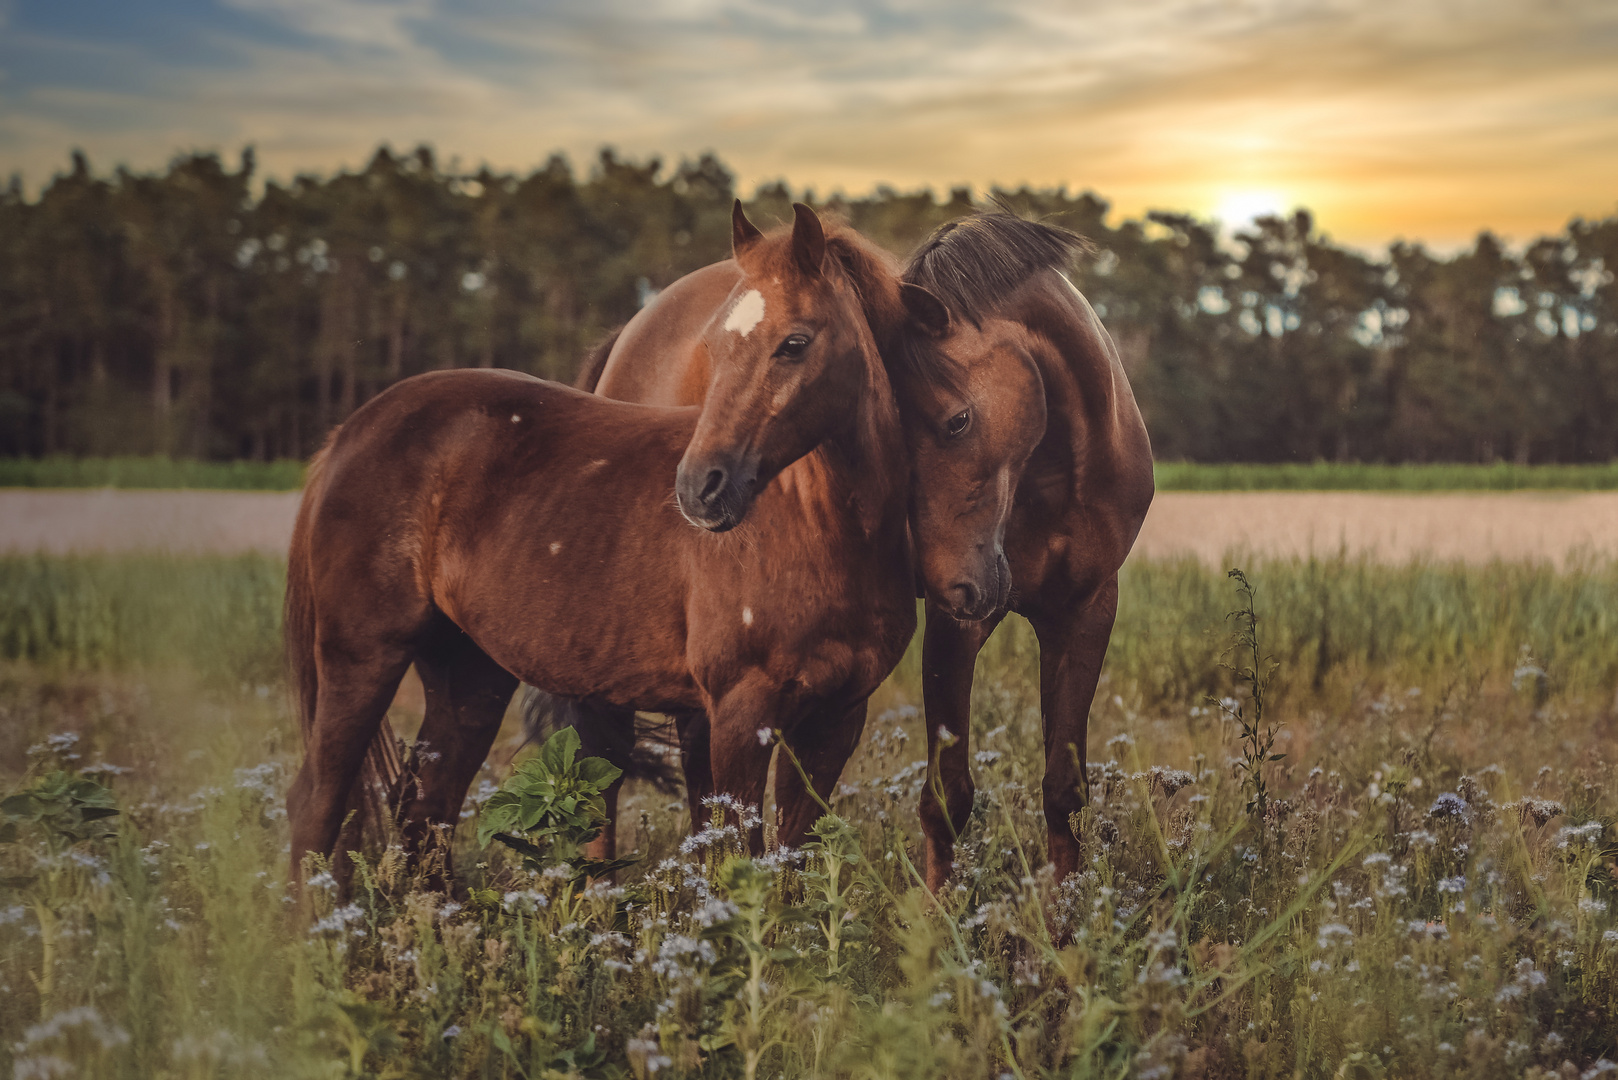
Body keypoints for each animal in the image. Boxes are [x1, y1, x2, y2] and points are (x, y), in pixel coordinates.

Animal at [281, 200, 1022, 880]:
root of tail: (349, 433)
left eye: (794, 342)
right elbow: (739, 860)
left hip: (469, 675)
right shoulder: (739, 715)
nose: (699, 489)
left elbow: (788, 862)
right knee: (317, 803)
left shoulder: (835, 718)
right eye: (715, 346)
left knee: (425, 807)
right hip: (362, 658)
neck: (822, 528)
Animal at [569, 208, 1152, 887]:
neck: (1059, 469)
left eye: (957, 421)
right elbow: (946, 797)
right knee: (605, 765)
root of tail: (633, 330)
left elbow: (1065, 788)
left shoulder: (1085, 611)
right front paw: (941, 908)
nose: (956, 580)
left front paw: (1066, 911)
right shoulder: (955, 625)